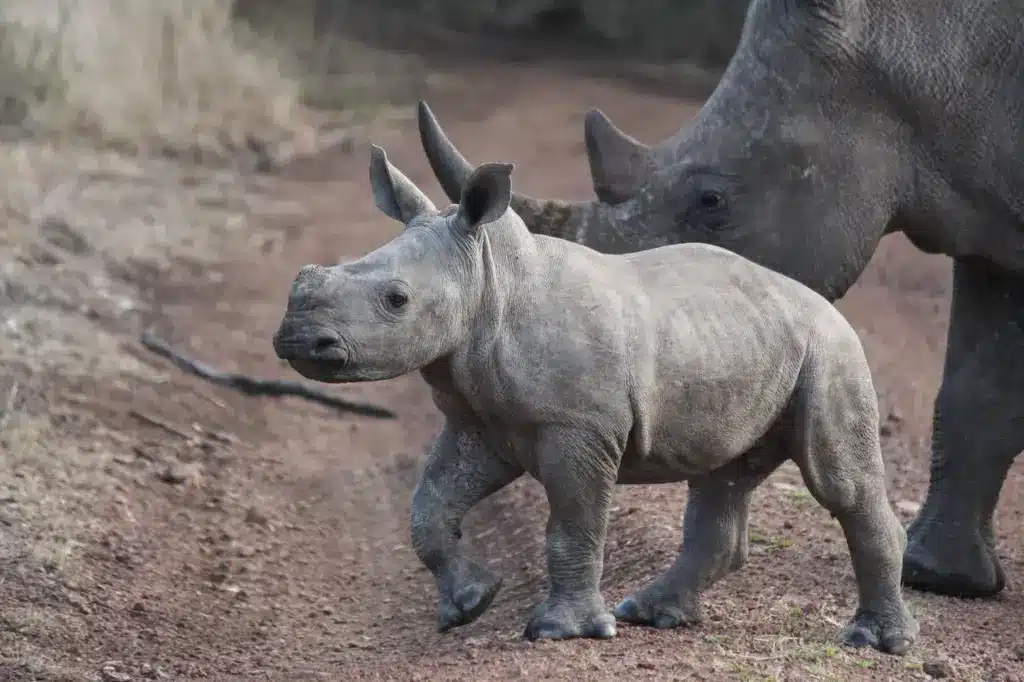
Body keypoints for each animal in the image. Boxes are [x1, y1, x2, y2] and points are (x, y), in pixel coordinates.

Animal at [272, 144, 921, 655]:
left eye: (396, 300)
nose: (297, 339)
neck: (491, 277)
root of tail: (824, 304)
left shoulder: (578, 427)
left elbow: (572, 523)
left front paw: (564, 632)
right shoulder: (482, 422)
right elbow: (430, 504)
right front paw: (470, 605)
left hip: (830, 350)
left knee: (839, 484)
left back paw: (875, 643)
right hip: (749, 342)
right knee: (722, 476)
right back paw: (653, 614)